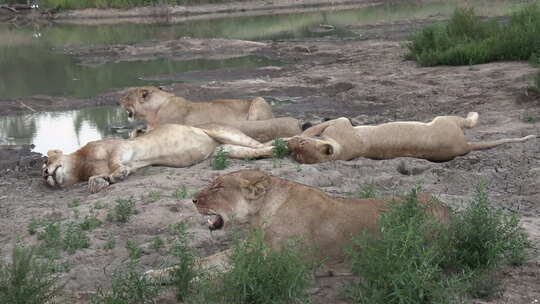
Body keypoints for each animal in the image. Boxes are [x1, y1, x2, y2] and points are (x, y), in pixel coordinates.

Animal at [40, 123, 276, 192]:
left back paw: (280, 146)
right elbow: (102, 176)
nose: (44, 175)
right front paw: (98, 183)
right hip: (225, 149)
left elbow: (115, 162)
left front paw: (116, 174)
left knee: (261, 143)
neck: (81, 165)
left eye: (45, 162)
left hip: (223, 133)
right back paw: (272, 151)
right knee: (255, 151)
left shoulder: (121, 147)